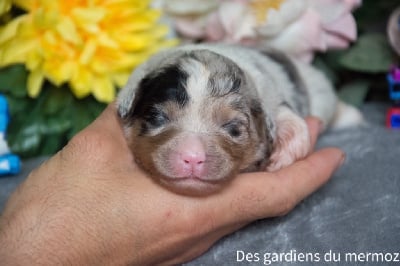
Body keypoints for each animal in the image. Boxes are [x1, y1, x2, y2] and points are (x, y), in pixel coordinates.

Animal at [116, 44, 362, 195]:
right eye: (157, 117)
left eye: (233, 128)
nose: (192, 158)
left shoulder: (271, 98)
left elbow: (294, 124)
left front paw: (280, 158)